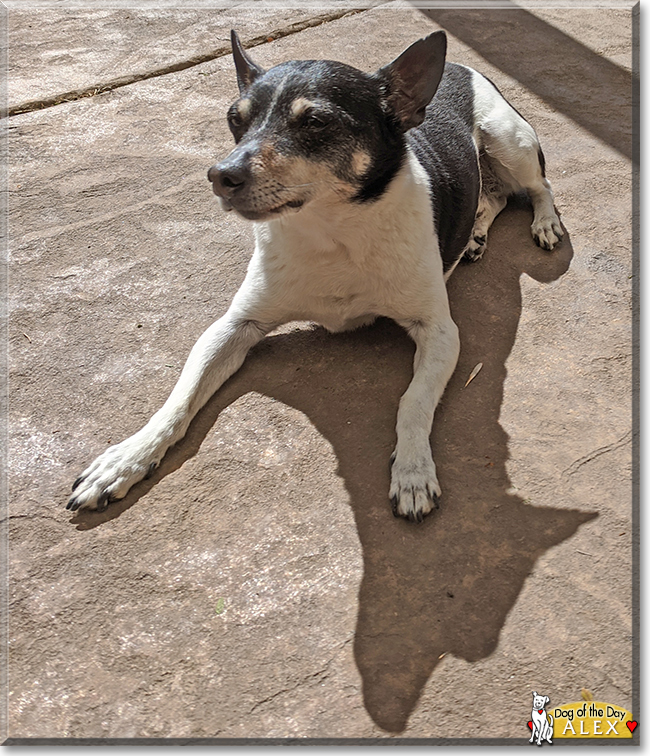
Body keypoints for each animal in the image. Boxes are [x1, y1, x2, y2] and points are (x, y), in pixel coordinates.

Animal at [67, 28, 560, 520]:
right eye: (234, 119)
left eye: (317, 122)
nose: (220, 174)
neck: (331, 233)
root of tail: (459, 66)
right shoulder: (233, 326)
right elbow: (178, 400)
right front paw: (127, 458)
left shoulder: (439, 332)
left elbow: (414, 401)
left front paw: (413, 470)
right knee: (494, 194)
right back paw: (475, 233)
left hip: (509, 142)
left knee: (537, 186)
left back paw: (544, 222)